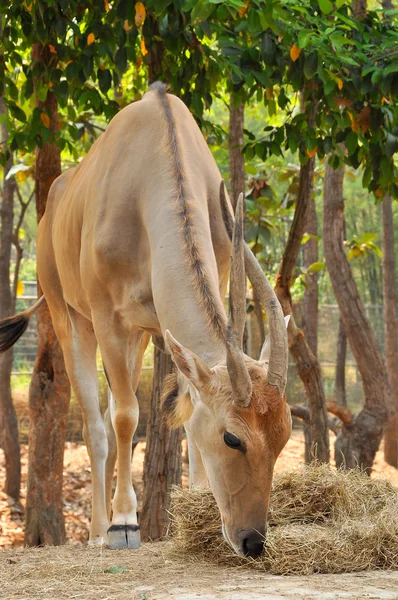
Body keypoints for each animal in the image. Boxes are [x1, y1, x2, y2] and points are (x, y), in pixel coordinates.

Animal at [0, 83, 292, 556]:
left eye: (284, 436)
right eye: (233, 437)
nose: (252, 541)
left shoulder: (168, 325)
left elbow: (184, 411)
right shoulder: (109, 320)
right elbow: (125, 417)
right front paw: (124, 523)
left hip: (137, 338)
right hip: (72, 320)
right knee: (96, 425)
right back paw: (100, 530)